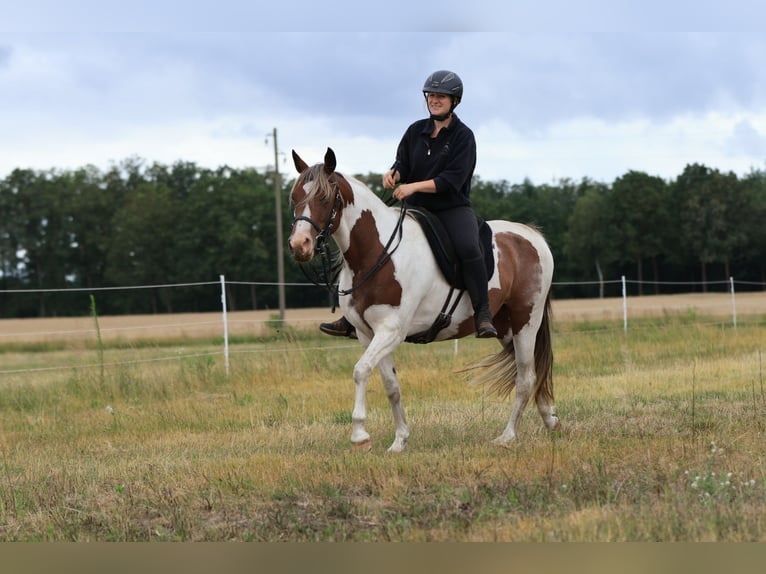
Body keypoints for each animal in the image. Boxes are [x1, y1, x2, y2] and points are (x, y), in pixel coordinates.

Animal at [288, 147, 559, 452]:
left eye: (323, 198)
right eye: (294, 197)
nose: (299, 245)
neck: (378, 252)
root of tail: (532, 236)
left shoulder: (391, 330)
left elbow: (360, 371)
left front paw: (360, 435)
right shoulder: (368, 334)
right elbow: (391, 386)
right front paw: (399, 441)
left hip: (526, 322)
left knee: (525, 377)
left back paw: (508, 436)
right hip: (506, 327)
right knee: (531, 373)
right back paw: (550, 419)